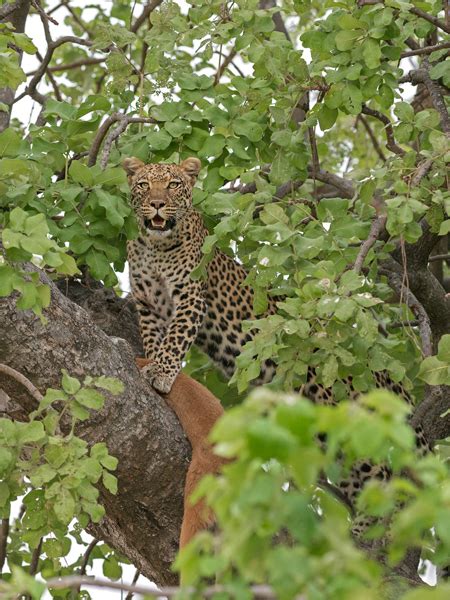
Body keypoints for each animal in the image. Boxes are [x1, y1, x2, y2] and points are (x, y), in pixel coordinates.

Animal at [123, 157, 428, 532]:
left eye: (174, 185)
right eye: (143, 185)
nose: (156, 203)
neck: (155, 247)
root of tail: (383, 373)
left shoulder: (190, 297)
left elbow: (176, 338)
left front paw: (162, 374)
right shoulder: (147, 303)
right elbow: (155, 339)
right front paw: (155, 367)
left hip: (337, 402)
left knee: (382, 472)